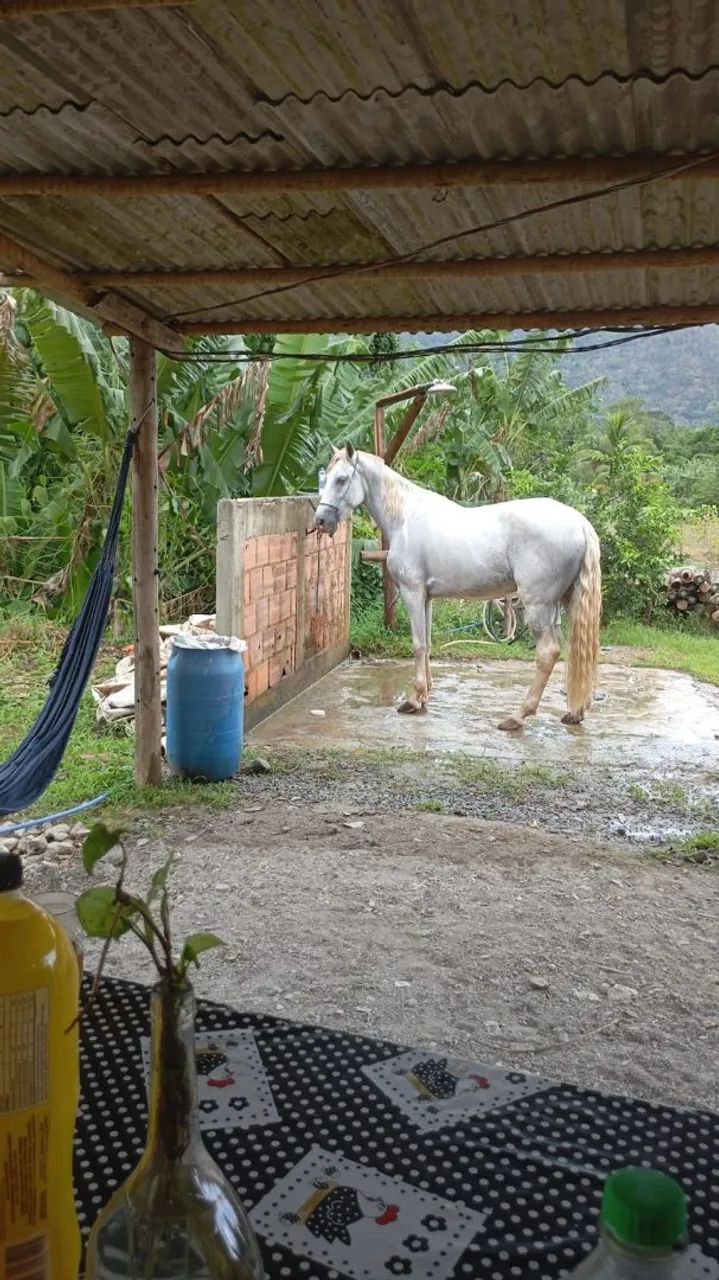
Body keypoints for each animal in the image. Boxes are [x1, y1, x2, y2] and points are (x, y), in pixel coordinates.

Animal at [314, 444, 602, 732]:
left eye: (341, 479)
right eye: (325, 478)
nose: (321, 521)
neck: (405, 518)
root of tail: (580, 523)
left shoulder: (412, 592)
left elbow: (418, 644)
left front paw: (413, 700)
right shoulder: (427, 597)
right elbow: (427, 643)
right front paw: (424, 696)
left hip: (538, 605)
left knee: (547, 653)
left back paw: (518, 716)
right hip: (564, 602)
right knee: (575, 651)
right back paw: (574, 712)